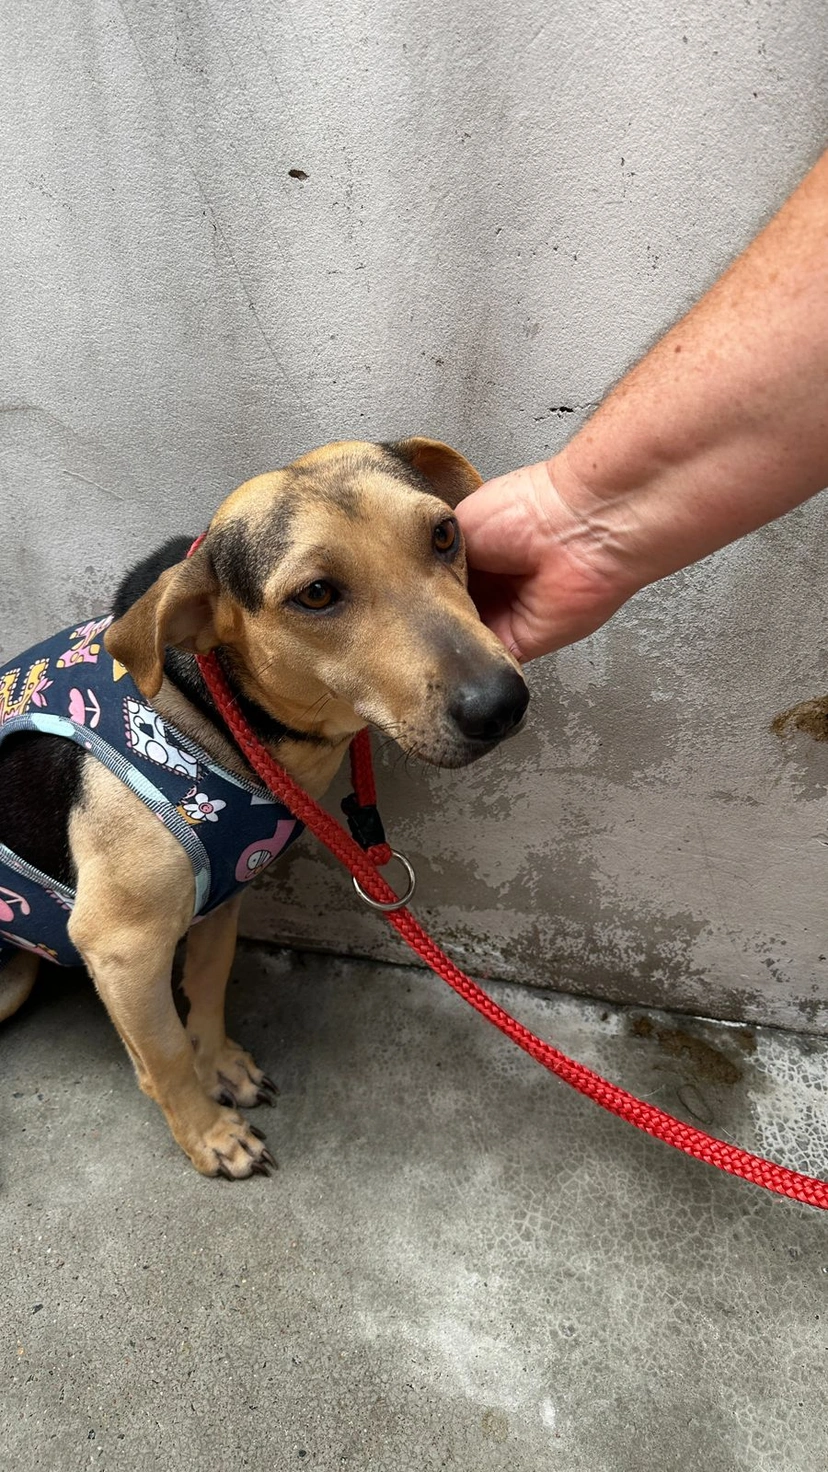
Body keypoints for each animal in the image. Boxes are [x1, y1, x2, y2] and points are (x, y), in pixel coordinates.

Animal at [0, 438, 529, 1177]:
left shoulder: (222, 896)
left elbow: (208, 985)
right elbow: (163, 1056)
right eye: (317, 594)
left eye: (445, 534)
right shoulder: (121, 947)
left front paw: (219, 1065)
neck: (211, 716)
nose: (500, 706)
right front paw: (209, 1135)